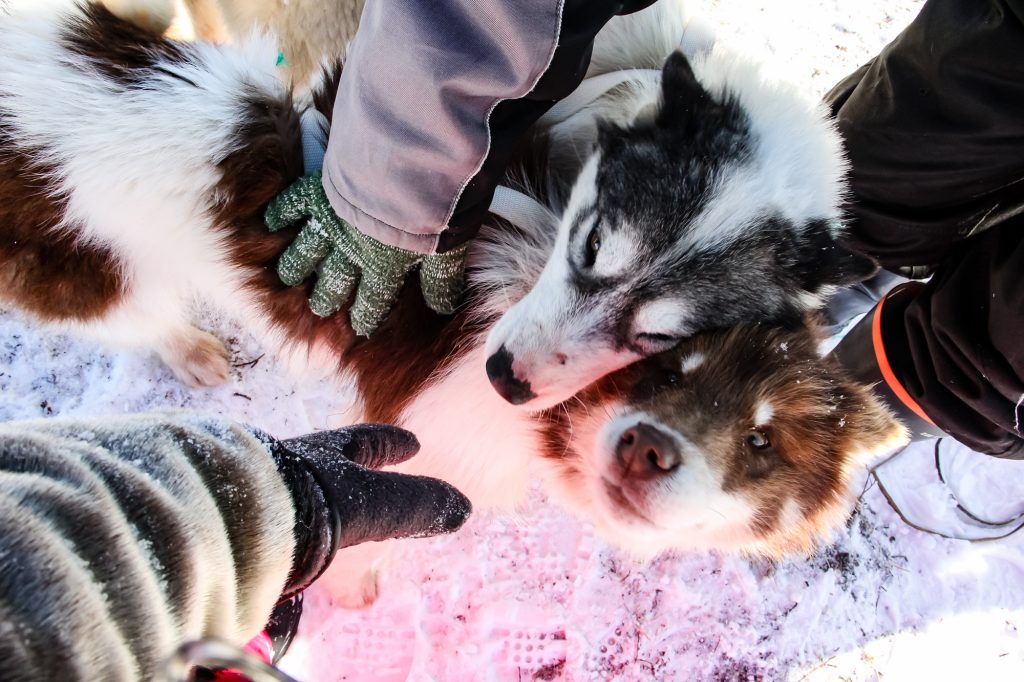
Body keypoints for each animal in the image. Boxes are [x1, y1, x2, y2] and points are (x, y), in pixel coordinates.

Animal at [0, 2, 905, 602]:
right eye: (668, 372)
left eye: (761, 442)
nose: (648, 449)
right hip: (97, 281)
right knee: (137, 319)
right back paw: (189, 350)